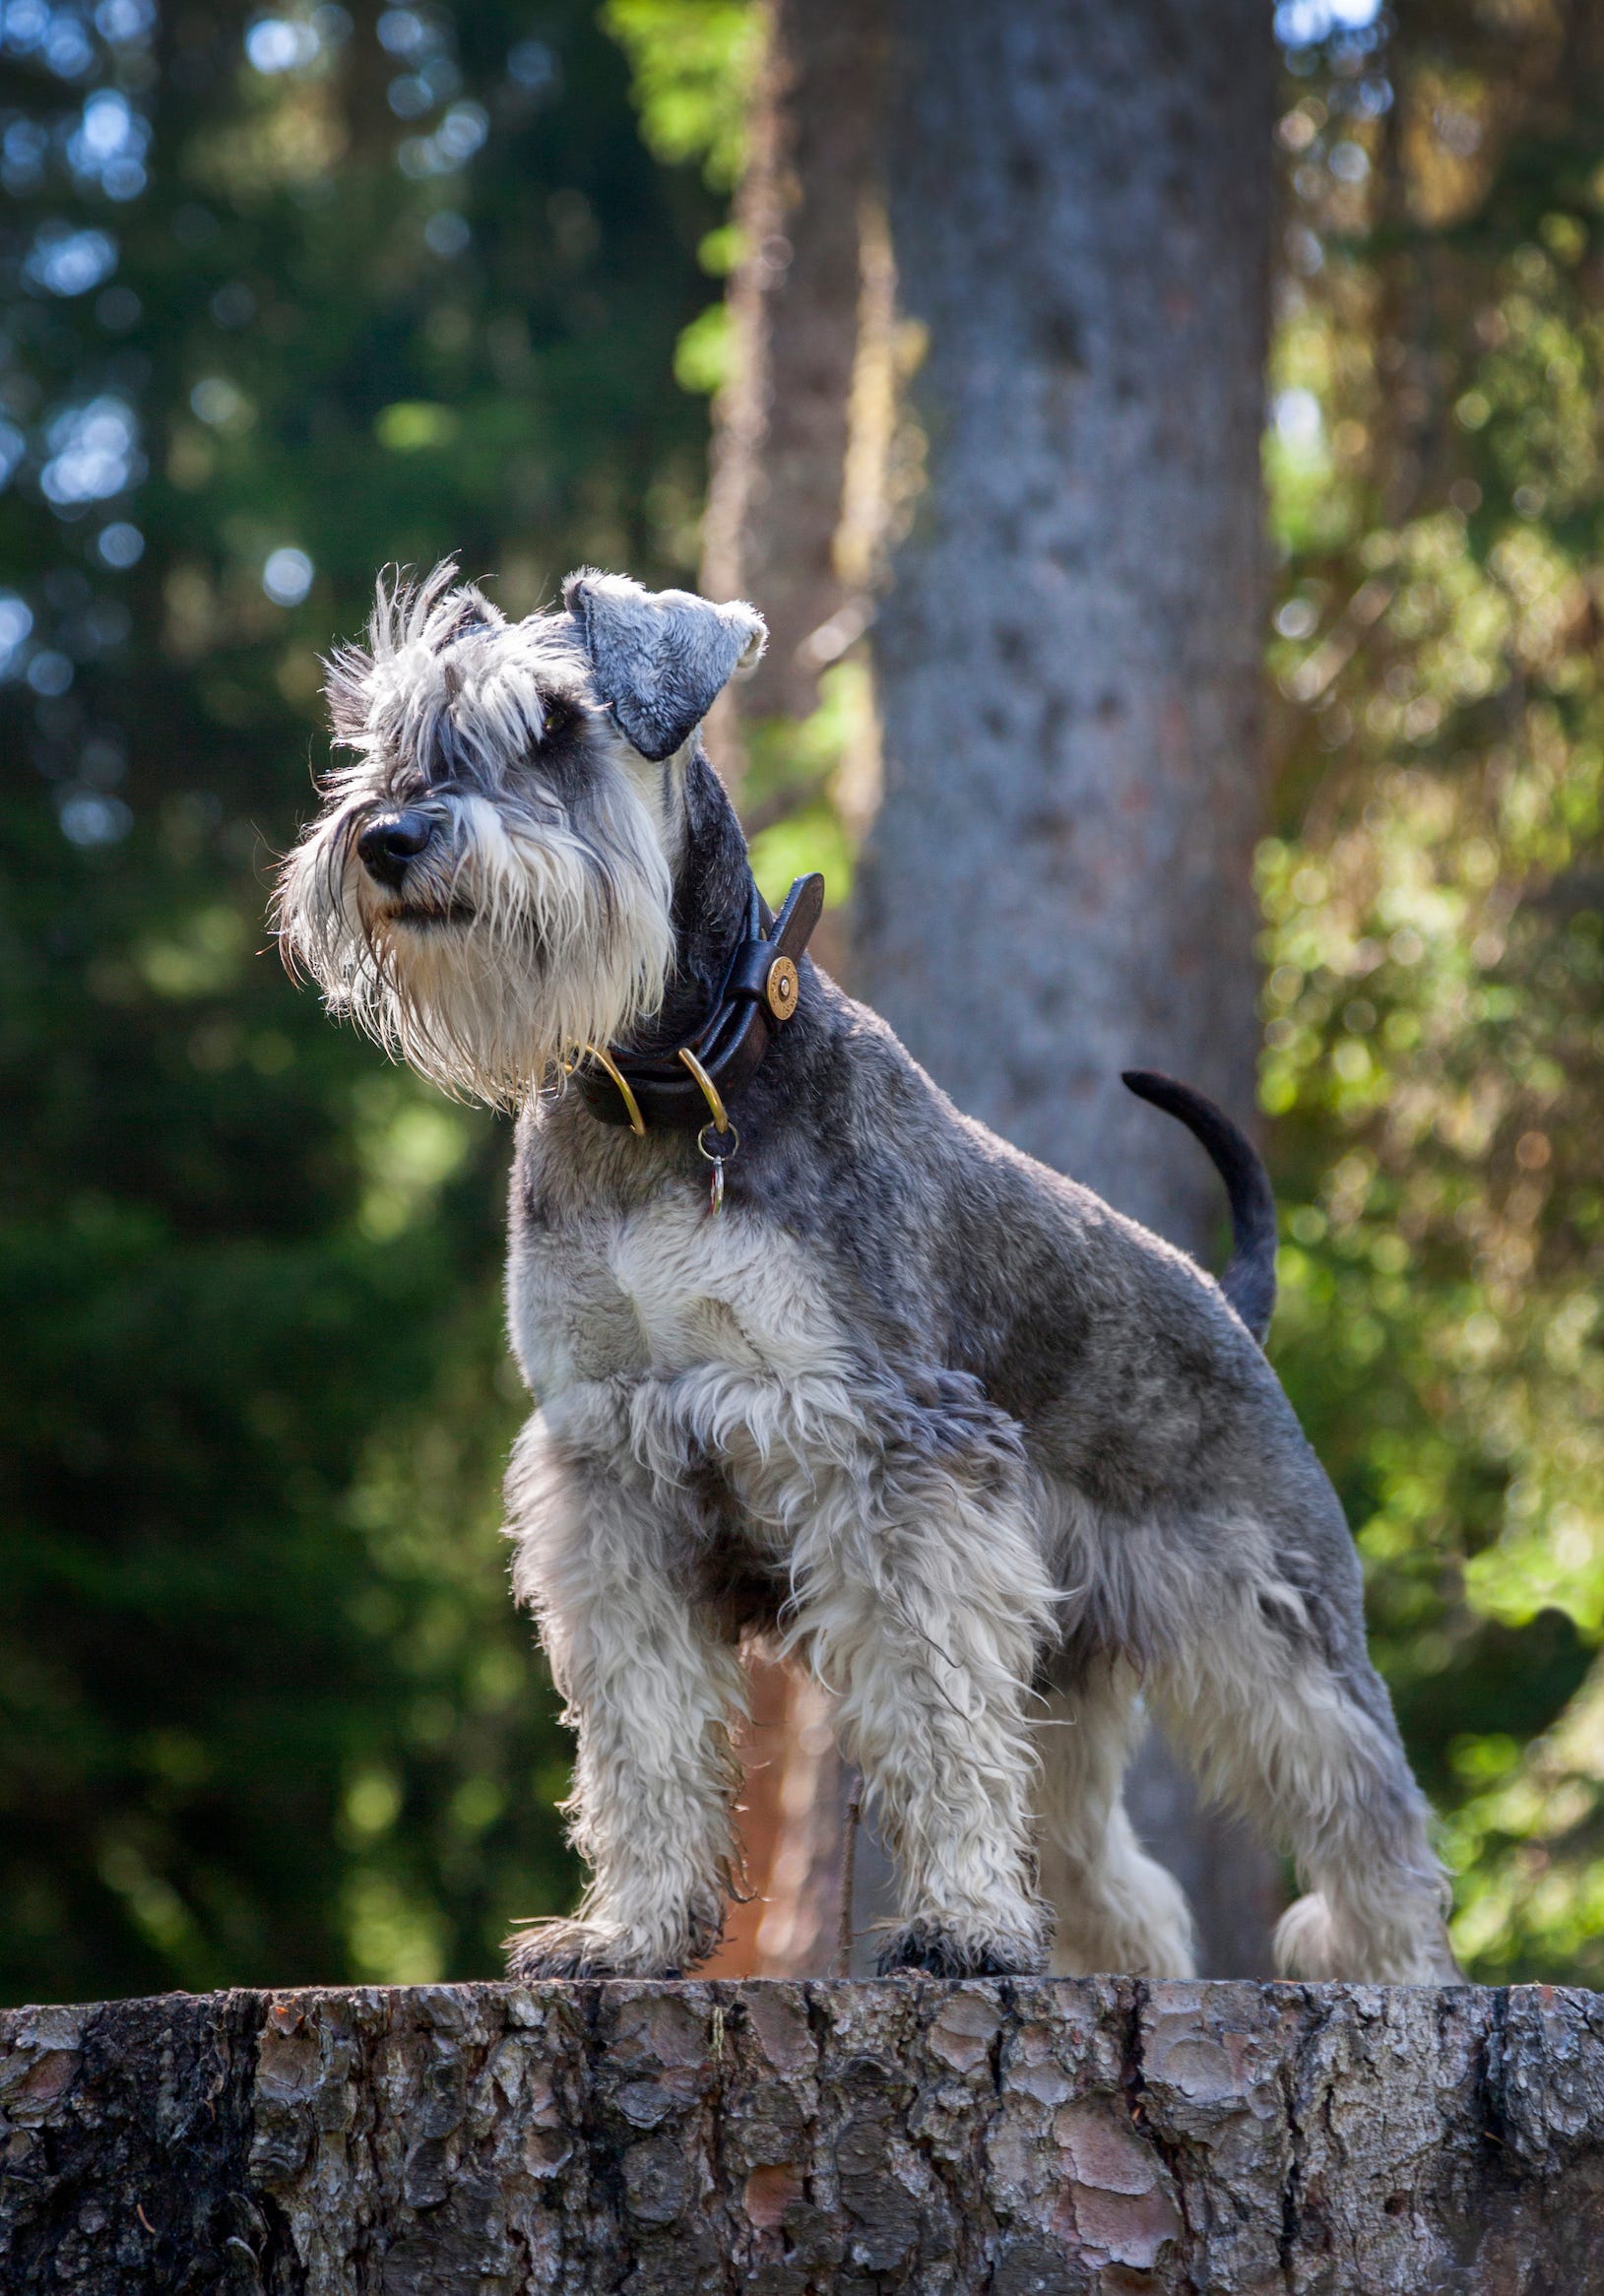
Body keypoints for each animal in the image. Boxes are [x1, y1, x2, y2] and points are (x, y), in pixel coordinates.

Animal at [273, 564, 1459, 1983]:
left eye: (553, 725)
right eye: (383, 733)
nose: (389, 838)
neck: (673, 1085)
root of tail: (1232, 1305)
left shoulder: (895, 1456)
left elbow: (934, 1713)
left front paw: (958, 1924)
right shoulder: (612, 1468)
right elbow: (642, 1730)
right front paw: (631, 1930)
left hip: (1267, 1618)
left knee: (1363, 1812)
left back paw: (1395, 1976)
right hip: (1068, 1665)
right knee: (1110, 1873)